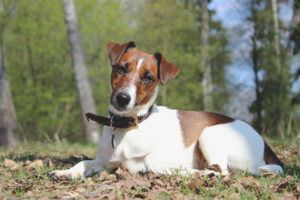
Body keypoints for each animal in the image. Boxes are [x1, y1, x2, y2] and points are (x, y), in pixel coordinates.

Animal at [49, 41, 284, 179]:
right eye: (121, 68)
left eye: (148, 78)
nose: (123, 98)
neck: (129, 126)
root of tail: (264, 144)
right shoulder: (105, 161)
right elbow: (84, 162)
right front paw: (66, 172)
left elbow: (151, 161)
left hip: (209, 133)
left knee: (222, 171)